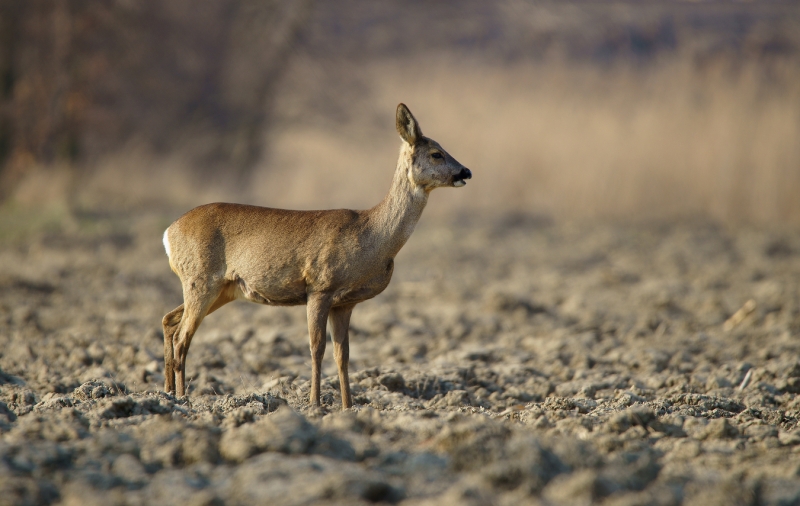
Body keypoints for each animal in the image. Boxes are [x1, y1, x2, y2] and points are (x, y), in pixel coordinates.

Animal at [161, 103, 472, 409]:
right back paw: (183, 398)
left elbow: (342, 355)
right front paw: (315, 403)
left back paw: (167, 392)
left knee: (169, 320)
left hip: (222, 288)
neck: (371, 236)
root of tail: (168, 232)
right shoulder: (320, 287)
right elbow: (316, 347)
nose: (466, 172)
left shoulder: (345, 303)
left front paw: (348, 407)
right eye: (436, 153)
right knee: (182, 336)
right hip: (201, 279)